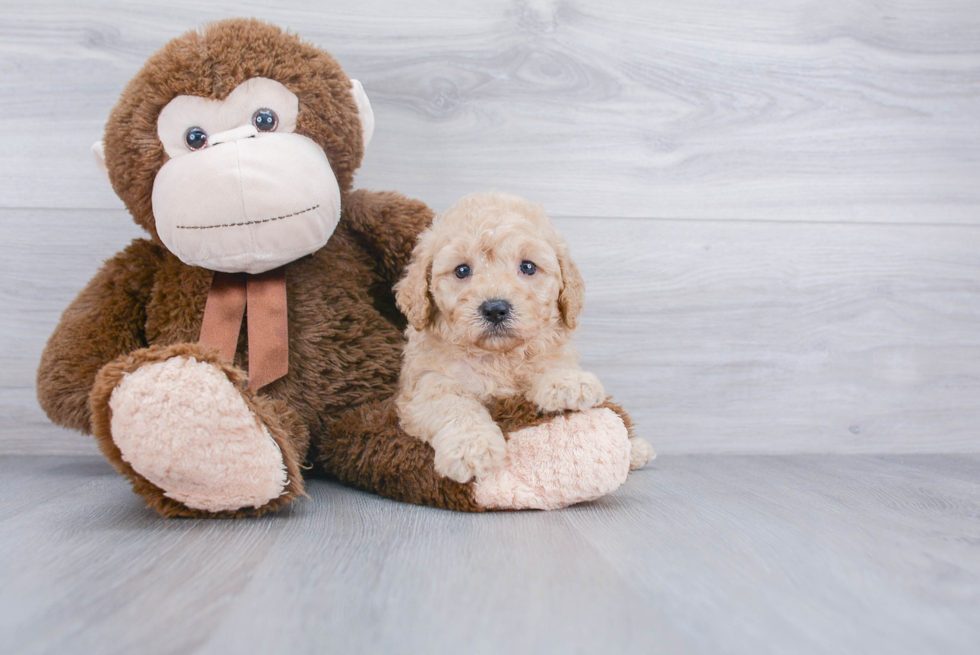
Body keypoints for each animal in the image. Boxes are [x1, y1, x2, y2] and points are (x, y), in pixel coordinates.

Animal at [394, 190, 656, 482]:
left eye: (528, 267)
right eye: (462, 270)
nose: (495, 309)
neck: (499, 356)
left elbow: (549, 364)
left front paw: (568, 382)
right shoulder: (426, 385)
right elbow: (454, 407)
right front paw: (471, 447)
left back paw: (637, 449)